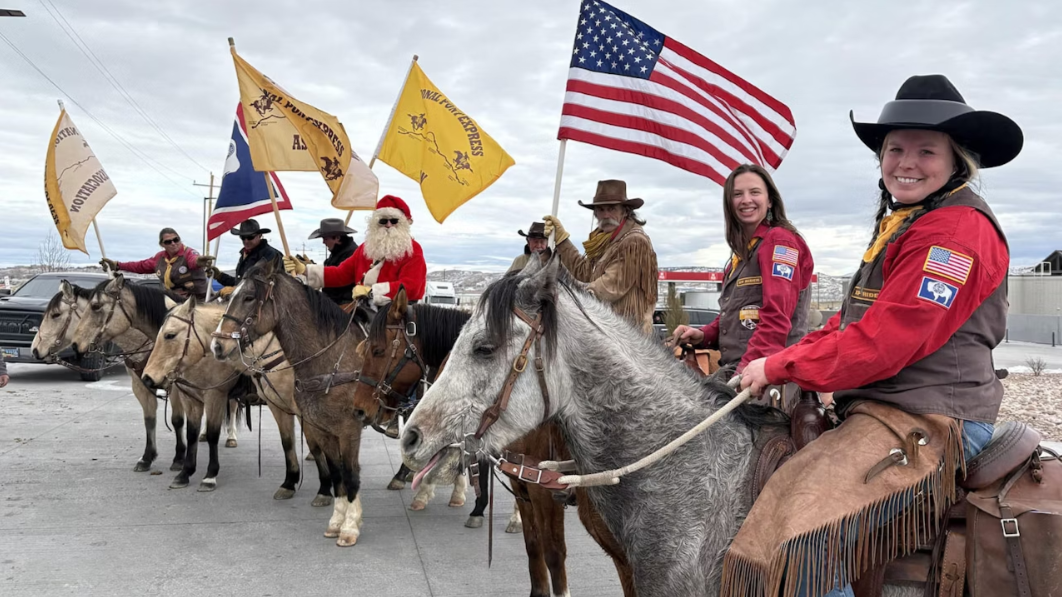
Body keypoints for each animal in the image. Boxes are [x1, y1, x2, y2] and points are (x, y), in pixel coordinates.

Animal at [30, 280, 186, 471]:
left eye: (55, 315)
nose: (35, 349)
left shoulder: (177, 387)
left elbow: (177, 420)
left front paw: (179, 458)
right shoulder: (140, 385)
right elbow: (149, 419)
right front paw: (147, 457)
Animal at [71, 274, 242, 488]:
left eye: (95, 306)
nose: (75, 344)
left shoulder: (206, 392)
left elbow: (187, 424)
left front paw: (195, 468)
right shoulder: (166, 389)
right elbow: (165, 423)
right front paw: (159, 461)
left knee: (233, 407)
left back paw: (232, 437)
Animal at [140, 295, 331, 503]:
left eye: (170, 335)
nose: (147, 378)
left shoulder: (215, 396)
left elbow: (213, 435)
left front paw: (209, 476)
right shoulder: (191, 399)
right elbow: (191, 434)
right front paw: (185, 473)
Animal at [209, 258, 371, 548]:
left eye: (249, 297)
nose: (217, 346)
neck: (332, 359)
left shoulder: (348, 429)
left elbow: (349, 472)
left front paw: (350, 526)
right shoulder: (317, 423)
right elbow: (334, 470)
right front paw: (335, 520)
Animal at [356, 284, 632, 594]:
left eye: (378, 350)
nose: (359, 408)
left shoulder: (544, 491)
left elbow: (554, 554)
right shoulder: (521, 482)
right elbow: (533, 548)